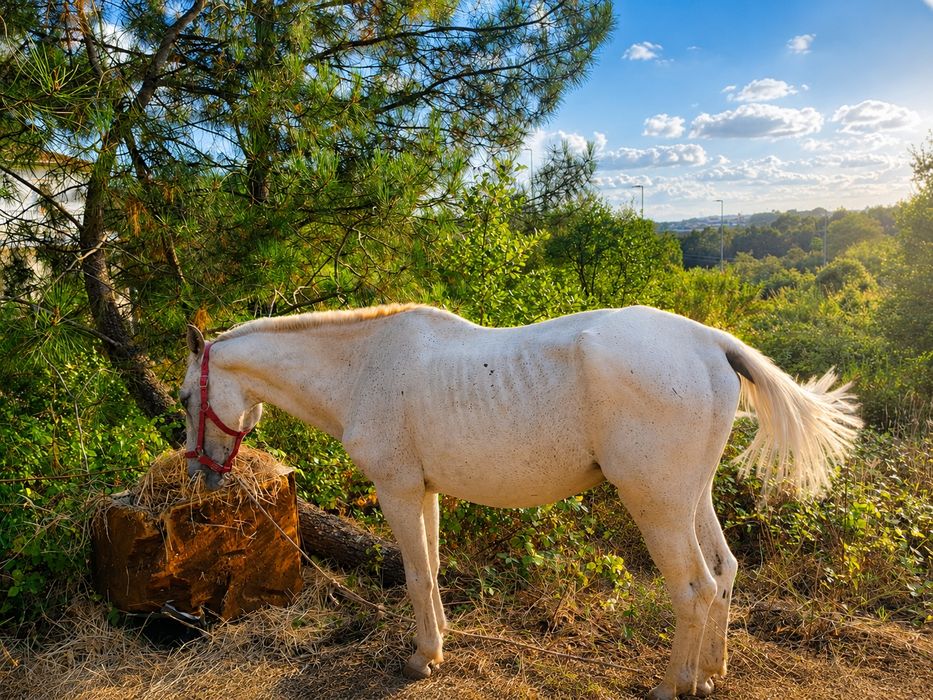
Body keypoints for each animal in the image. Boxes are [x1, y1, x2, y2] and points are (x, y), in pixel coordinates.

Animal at [179, 303, 861, 700]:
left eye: (187, 396)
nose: (201, 475)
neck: (364, 367)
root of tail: (709, 342)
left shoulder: (396, 490)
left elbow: (414, 575)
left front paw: (422, 659)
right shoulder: (423, 493)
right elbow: (431, 569)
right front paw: (441, 642)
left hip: (658, 505)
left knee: (693, 587)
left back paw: (674, 686)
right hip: (692, 498)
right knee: (722, 573)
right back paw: (712, 675)